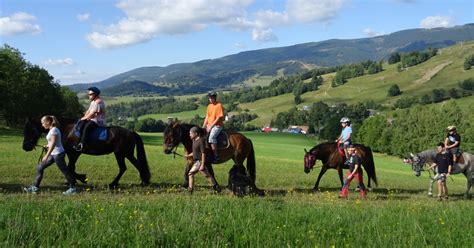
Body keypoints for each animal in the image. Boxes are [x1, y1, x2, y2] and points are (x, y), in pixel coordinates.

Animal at [22, 118, 150, 188]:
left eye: (30, 130)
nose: (25, 147)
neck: (66, 130)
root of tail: (131, 132)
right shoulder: (71, 153)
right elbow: (70, 167)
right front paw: (73, 180)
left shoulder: (74, 153)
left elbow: (70, 167)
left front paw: (80, 179)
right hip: (125, 154)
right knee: (134, 166)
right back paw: (143, 181)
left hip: (121, 154)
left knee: (126, 167)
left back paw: (117, 183)